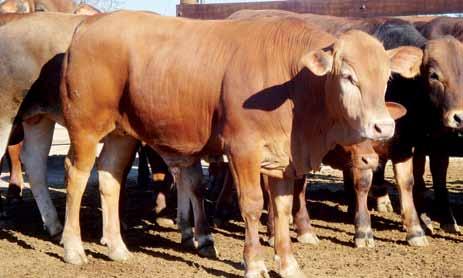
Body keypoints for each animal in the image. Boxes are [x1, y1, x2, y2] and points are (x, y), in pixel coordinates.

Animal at [59, 10, 422, 276]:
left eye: (387, 77)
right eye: (348, 77)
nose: (383, 126)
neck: (292, 84)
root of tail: (88, 25)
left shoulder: (283, 158)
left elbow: (282, 208)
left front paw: (288, 263)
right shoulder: (243, 149)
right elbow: (252, 204)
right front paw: (255, 263)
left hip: (121, 133)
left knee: (109, 178)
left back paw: (117, 247)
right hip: (86, 126)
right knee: (77, 175)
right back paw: (73, 247)